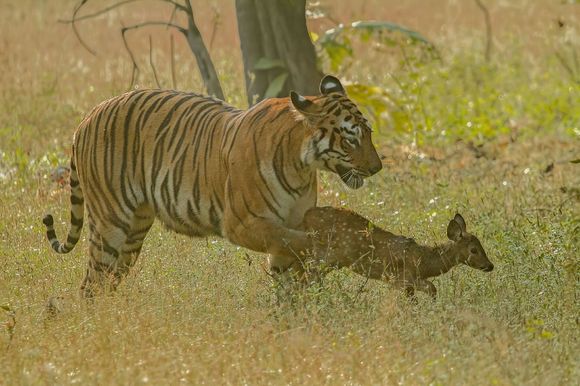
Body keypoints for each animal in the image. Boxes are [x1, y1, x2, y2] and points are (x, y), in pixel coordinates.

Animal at [43, 76, 382, 298]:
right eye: (351, 139)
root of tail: (87, 117)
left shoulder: (291, 220)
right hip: (111, 221)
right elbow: (294, 241)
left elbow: (289, 276)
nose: (377, 167)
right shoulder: (242, 224)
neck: (301, 165)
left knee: (108, 280)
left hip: (133, 232)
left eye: (369, 133)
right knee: (91, 283)